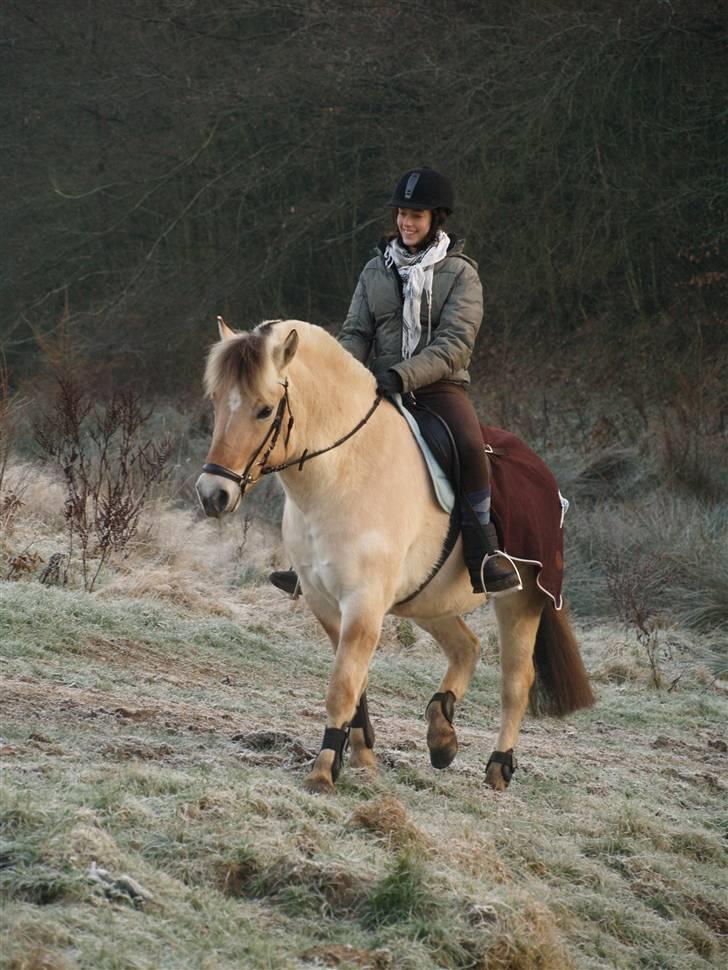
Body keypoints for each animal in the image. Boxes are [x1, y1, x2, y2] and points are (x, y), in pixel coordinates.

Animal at [196, 318, 596, 796]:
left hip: (522, 599)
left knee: (515, 683)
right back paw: (441, 734)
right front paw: (362, 759)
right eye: (217, 400)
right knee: (467, 647)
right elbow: (357, 684)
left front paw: (322, 771)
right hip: (428, 602)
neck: (342, 472)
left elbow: (342, 685)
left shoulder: (364, 603)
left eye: (264, 409)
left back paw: (498, 766)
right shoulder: (326, 602)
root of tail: (545, 476)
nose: (213, 494)